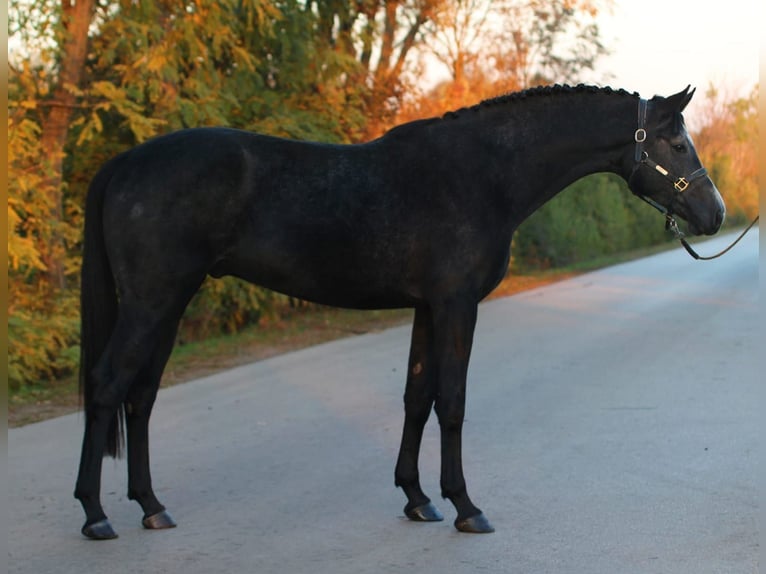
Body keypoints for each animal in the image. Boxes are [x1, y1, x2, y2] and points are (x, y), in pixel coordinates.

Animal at [72, 84, 728, 540]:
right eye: (676, 143)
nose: (715, 213)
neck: (484, 172)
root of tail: (123, 163)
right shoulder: (457, 304)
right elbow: (452, 401)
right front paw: (466, 507)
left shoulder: (426, 308)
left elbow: (417, 397)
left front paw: (417, 499)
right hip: (153, 301)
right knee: (107, 386)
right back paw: (95, 514)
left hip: (168, 303)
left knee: (140, 396)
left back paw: (151, 507)